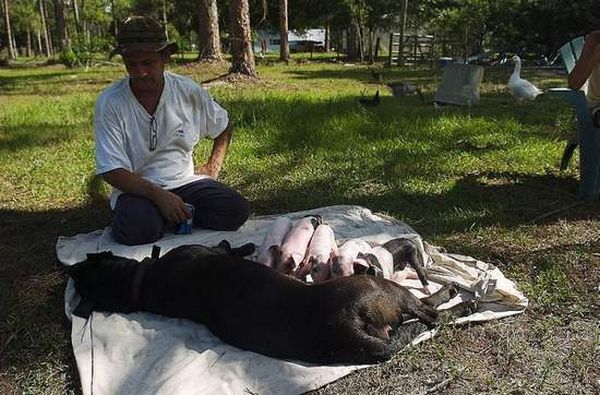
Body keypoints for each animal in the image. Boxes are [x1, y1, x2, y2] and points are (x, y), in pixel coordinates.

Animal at [67, 243, 478, 366]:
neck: (141, 283)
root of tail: (349, 329)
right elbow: (229, 246)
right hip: (384, 287)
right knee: (430, 313)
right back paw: (459, 300)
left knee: (424, 317)